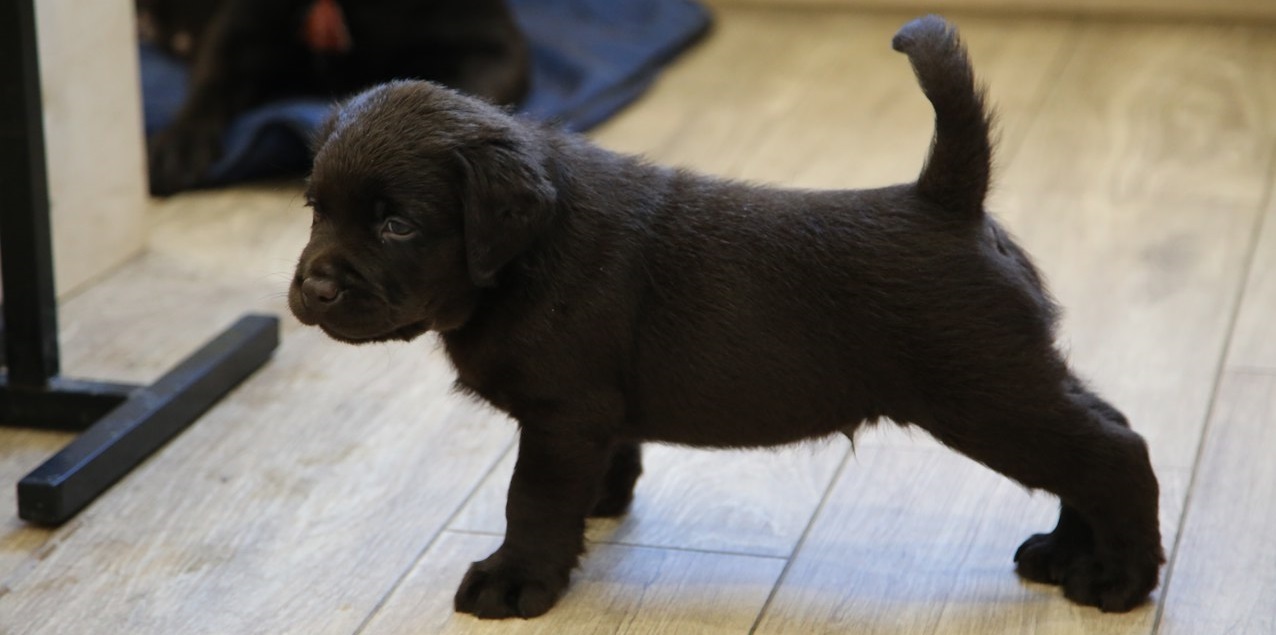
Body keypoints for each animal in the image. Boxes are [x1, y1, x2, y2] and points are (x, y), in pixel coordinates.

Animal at [292, 16, 1168, 619]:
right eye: (315, 209)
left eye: (396, 224)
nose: (313, 288)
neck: (522, 257)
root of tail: (946, 200)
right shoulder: (591, 416)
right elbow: (601, 465)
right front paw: (598, 504)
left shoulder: (560, 415)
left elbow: (531, 500)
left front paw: (515, 578)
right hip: (1012, 382)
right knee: (1098, 433)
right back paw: (1068, 551)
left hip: (986, 393)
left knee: (1112, 448)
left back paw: (1118, 576)